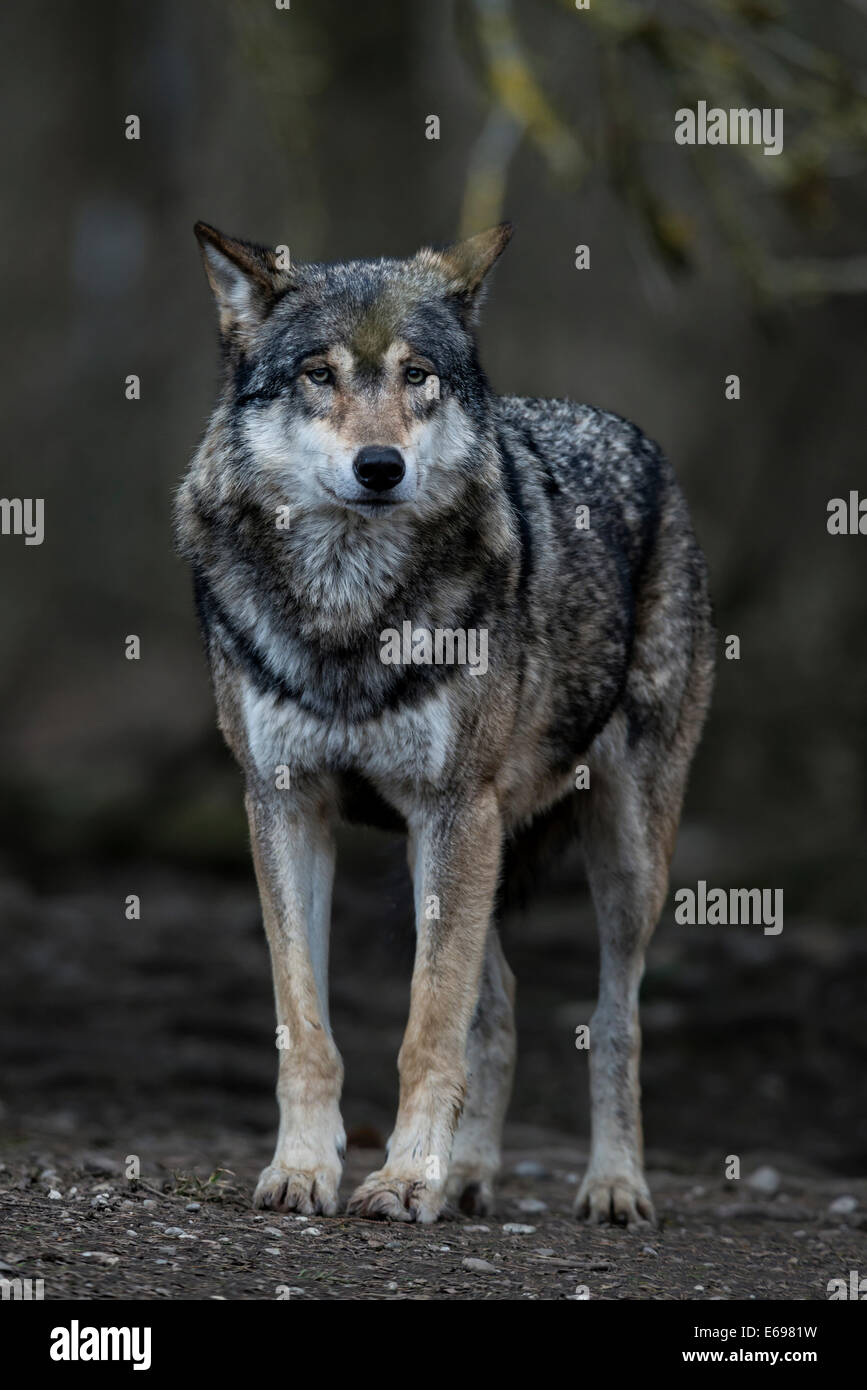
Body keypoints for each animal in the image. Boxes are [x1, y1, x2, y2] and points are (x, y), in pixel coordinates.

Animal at [174, 219, 711, 1228]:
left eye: (417, 374)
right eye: (319, 373)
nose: (380, 467)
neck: (349, 613)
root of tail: (631, 434)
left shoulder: (453, 809)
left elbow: (428, 1027)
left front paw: (402, 1180)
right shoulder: (284, 803)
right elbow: (306, 1024)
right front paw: (305, 1170)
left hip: (618, 853)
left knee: (612, 1021)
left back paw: (613, 1186)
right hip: (476, 850)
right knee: (496, 1000)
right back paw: (469, 1176)